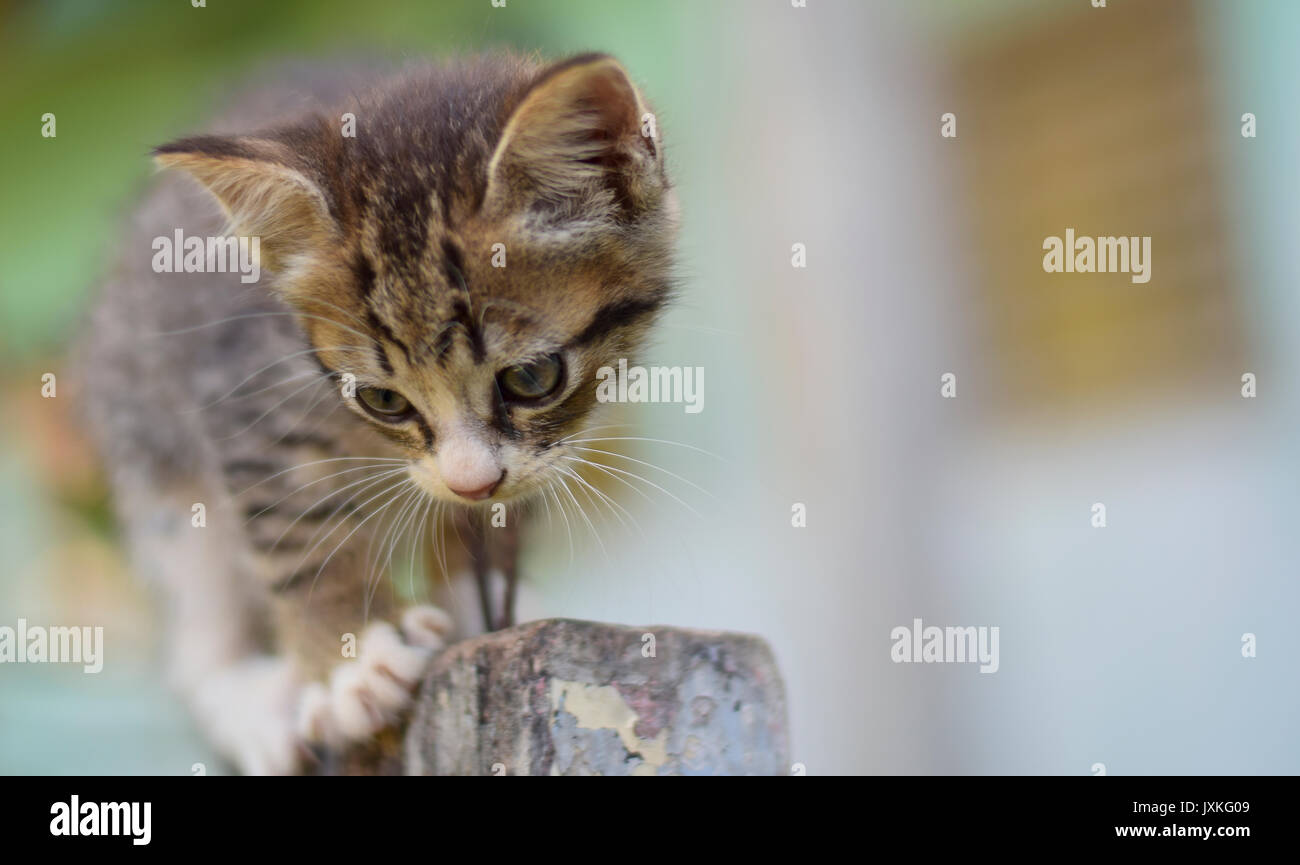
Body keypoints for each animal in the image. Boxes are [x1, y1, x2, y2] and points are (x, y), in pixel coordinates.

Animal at [83, 50, 681, 770]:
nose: (469, 483)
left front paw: (478, 598)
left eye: (532, 377)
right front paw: (354, 657)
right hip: (142, 424)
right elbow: (296, 529)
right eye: (383, 398)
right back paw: (253, 705)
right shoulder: (246, 393)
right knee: (192, 592)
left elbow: (501, 511)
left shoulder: (557, 439)